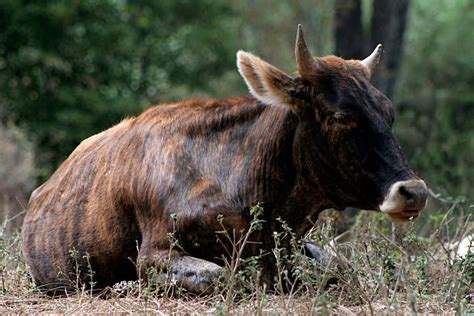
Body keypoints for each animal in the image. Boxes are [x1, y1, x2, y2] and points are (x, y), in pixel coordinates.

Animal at [21, 25, 430, 296]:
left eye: (389, 113)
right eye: (340, 116)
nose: (414, 191)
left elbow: (341, 269)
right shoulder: (154, 253)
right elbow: (224, 276)